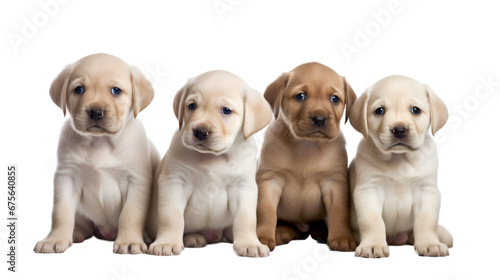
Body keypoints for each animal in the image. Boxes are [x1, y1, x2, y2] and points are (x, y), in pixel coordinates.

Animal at [33, 53, 158, 255]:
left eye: (116, 91)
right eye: (79, 89)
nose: (95, 112)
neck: (100, 143)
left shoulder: (137, 181)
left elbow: (130, 214)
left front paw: (129, 241)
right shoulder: (66, 177)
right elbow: (61, 212)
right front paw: (55, 239)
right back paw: (75, 233)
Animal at [146, 70, 274, 258]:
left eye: (226, 110)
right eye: (191, 106)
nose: (200, 132)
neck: (214, 157)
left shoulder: (244, 186)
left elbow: (246, 218)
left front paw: (250, 243)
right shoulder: (174, 182)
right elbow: (171, 216)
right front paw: (166, 242)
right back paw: (192, 237)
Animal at [256, 61, 358, 252]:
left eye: (334, 99)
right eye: (300, 96)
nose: (319, 118)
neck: (306, 145)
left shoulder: (335, 183)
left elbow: (339, 212)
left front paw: (342, 237)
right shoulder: (269, 180)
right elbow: (266, 211)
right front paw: (262, 238)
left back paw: (322, 232)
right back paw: (281, 233)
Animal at [348, 75, 454, 258]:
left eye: (415, 110)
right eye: (379, 111)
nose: (399, 130)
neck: (399, 159)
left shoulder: (427, 191)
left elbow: (427, 220)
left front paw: (430, 243)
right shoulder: (368, 190)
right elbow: (373, 221)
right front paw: (373, 245)